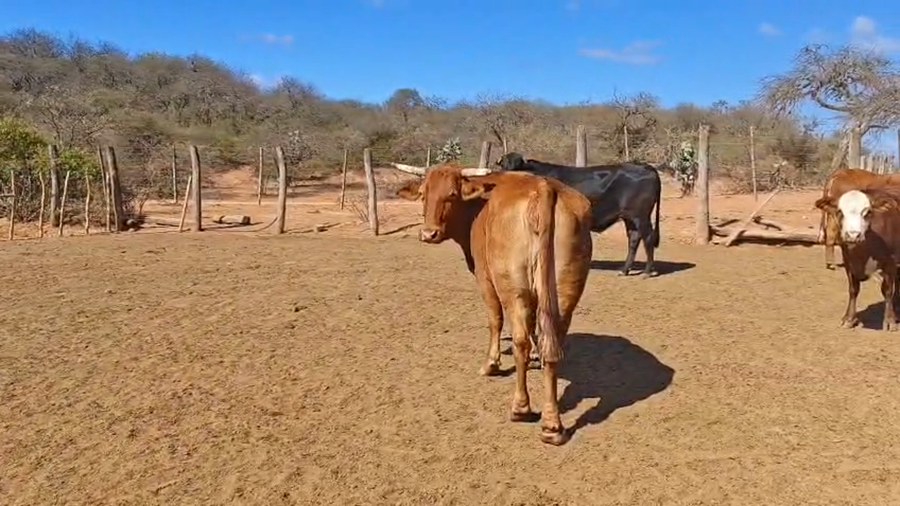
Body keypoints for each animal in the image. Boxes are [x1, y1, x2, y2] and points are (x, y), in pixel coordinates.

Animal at [393, 163, 593, 446]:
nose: (428, 233)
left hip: (512, 286)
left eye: (452, 194)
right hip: (564, 290)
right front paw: (535, 357)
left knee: (519, 339)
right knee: (552, 344)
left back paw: (520, 407)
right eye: (423, 193)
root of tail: (543, 188)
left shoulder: (484, 276)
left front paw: (491, 363)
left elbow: (495, 319)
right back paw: (552, 424)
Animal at [495, 152, 662, 277]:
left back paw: (647, 271)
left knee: (648, 237)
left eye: (516, 165)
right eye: (504, 164)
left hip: (640, 216)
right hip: (630, 218)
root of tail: (645, 166)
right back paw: (624, 270)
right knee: (634, 239)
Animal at [815, 187, 900, 331]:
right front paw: (849, 318)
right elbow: (853, 290)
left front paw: (889, 320)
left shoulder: (890, 263)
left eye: (868, 212)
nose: (853, 235)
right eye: (840, 211)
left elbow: (887, 290)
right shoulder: (849, 263)